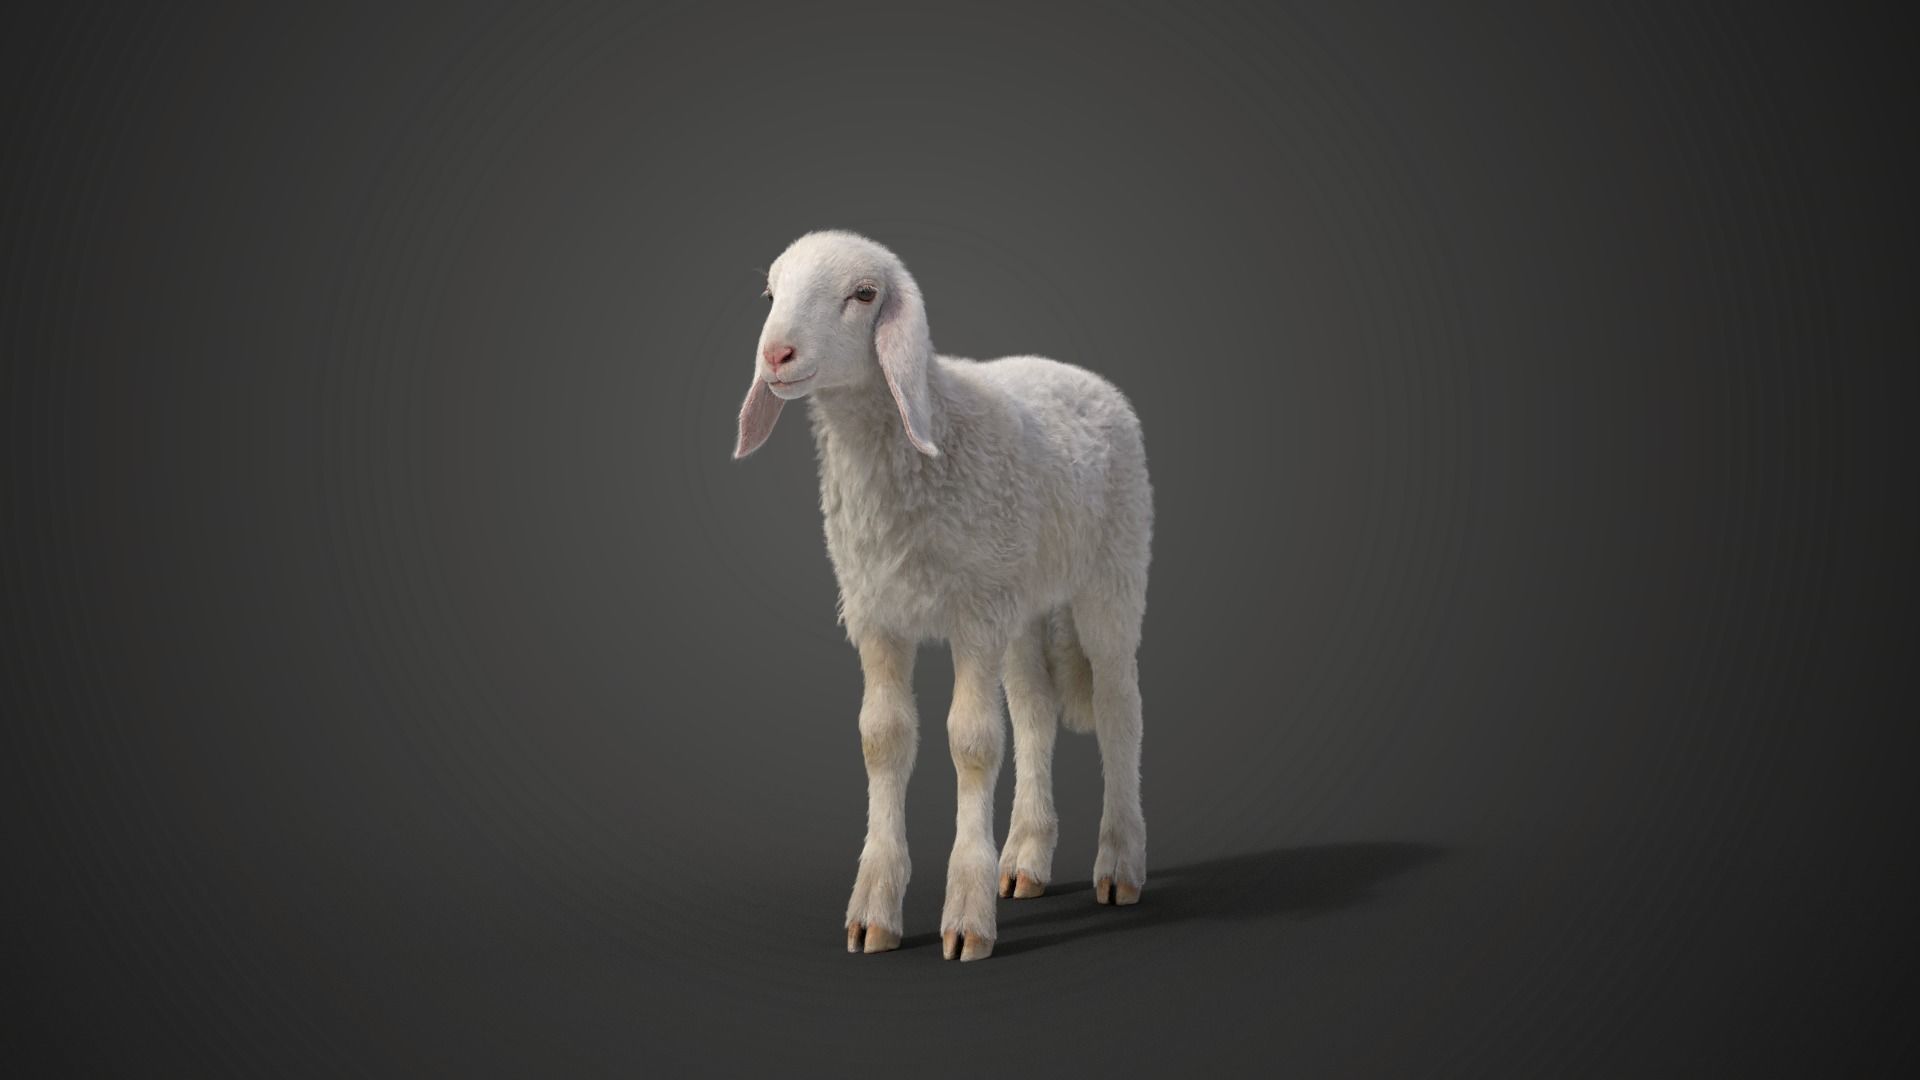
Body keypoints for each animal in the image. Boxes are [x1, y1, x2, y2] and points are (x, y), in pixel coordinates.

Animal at [732, 230, 1152, 961]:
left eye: (863, 294)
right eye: (771, 293)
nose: (775, 355)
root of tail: (1084, 377)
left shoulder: (973, 614)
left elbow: (973, 742)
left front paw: (966, 919)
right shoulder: (877, 613)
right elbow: (883, 737)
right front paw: (873, 914)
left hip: (1113, 570)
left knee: (1117, 703)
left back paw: (1119, 866)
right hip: (1021, 591)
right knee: (1036, 710)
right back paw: (1024, 861)